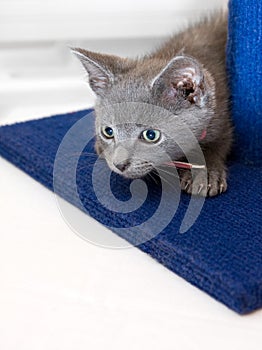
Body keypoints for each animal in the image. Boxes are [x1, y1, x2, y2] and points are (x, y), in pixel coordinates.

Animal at [72, 11, 232, 197]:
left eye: (151, 135)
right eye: (108, 131)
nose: (119, 165)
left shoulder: (223, 120)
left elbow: (220, 142)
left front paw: (205, 173)